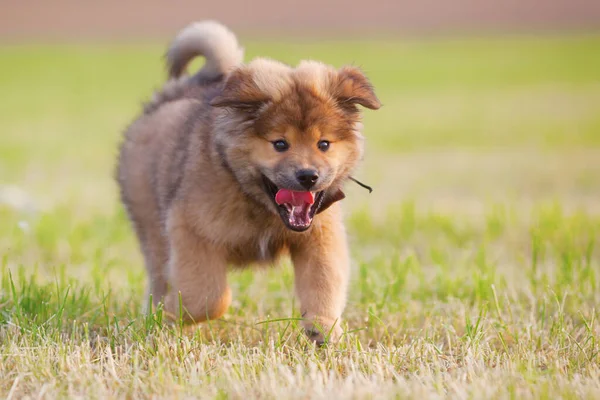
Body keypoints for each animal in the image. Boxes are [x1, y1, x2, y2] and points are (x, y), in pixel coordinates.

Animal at [117, 20, 380, 344]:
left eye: (324, 144)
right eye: (280, 144)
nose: (308, 176)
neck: (258, 204)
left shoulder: (321, 236)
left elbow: (324, 283)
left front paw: (322, 328)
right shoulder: (190, 231)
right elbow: (208, 297)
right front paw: (172, 312)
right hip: (152, 226)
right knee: (159, 274)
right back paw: (154, 317)